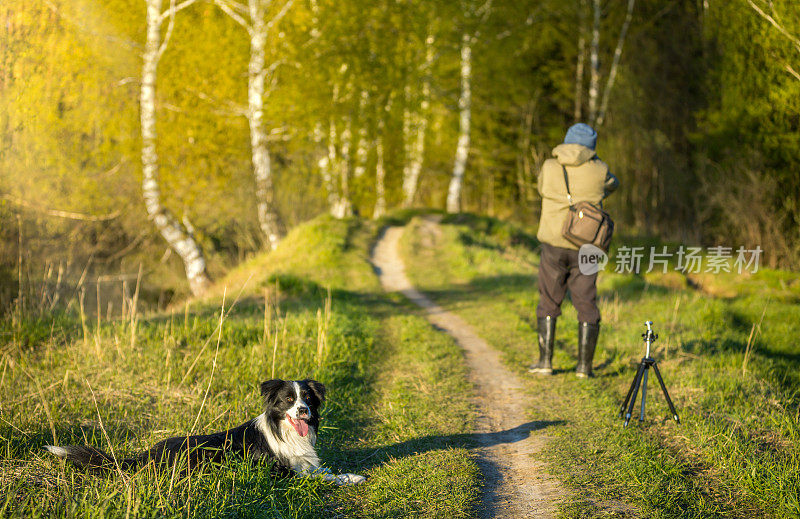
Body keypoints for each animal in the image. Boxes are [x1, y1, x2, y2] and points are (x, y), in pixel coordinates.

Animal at [45, 378, 364, 488]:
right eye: (288, 400)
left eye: (307, 399)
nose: (303, 411)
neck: (284, 431)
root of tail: (146, 455)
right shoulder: (284, 472)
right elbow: (322, 477)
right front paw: (350, 479)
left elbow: (326, 470)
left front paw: (350, 475)